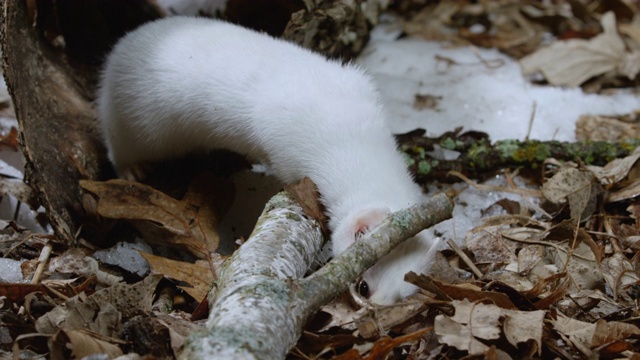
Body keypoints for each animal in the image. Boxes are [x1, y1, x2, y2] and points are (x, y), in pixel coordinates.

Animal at [96, 16, 436, 304]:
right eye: (364, 286)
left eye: (402, 293)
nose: (371, 318)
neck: (351, 129)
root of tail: (121, 49)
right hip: (134, 122)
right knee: (116, 144)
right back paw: (133, 169)